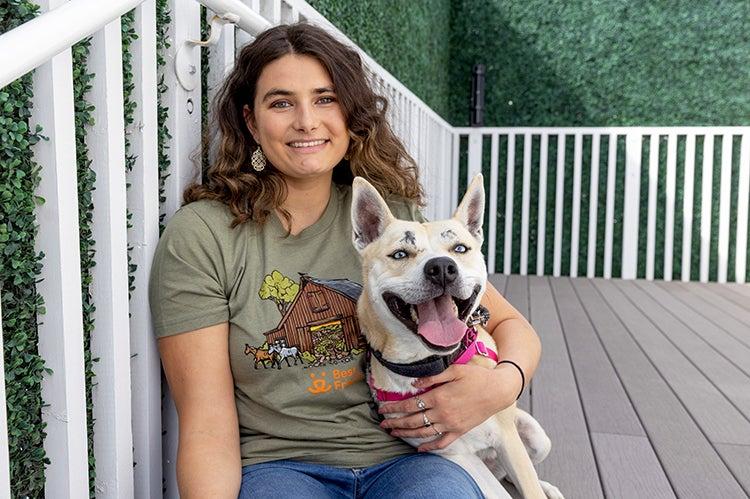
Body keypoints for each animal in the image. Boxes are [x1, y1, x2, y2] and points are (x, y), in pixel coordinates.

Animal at [352, 176, 564, 499]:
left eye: (460, 248)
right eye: (400, 254)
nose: (441, 267)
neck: (432, 362)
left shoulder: (508, 439)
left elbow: (528, 487)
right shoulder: (454, 453)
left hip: (536, 437)